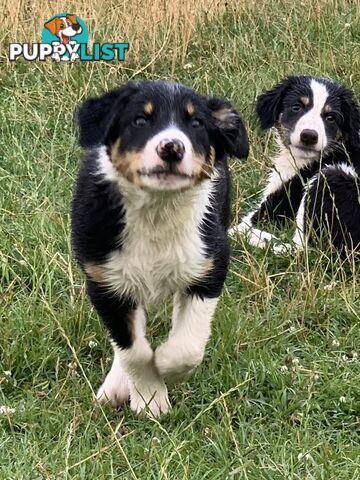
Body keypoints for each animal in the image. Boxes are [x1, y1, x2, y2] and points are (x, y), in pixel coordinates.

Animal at [71, 80, 249, 414]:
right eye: (140, 120)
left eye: (196, 124)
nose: (172, 147)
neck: (157, 210)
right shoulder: (103, 282)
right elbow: (132, 349)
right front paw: (150, 398)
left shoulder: (209, 266)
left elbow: (188, 346)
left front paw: (165, 365)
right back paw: (116, 385)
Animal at [231, 75, 360, 255]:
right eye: (296, 107)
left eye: (330, 117)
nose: (309, 136)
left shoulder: (277, 205)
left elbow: (240, 225)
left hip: (330, 178)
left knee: (301, 249)